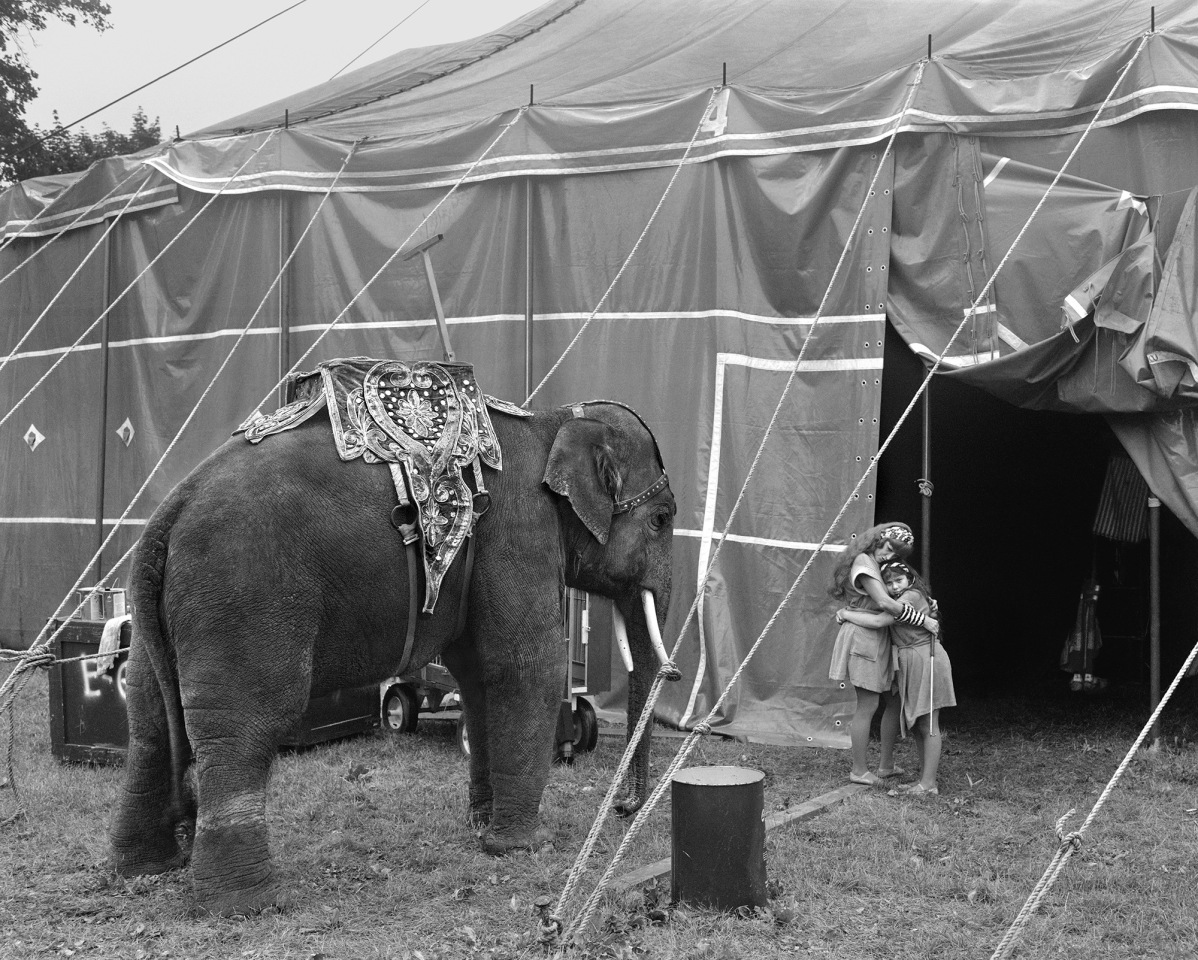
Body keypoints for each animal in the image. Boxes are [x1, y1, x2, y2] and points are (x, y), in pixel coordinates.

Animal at [107, 391, 676, 917]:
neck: (554, 421)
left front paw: (481, 827)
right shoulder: (520, 530)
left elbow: (477, 674)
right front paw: (520, 847)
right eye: (662, 519)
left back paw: (144, 868)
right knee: (244, 724)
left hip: (166, 614)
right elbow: (526, 666)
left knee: (149, 719)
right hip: (241, 596)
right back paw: (249, 902)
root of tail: (168, 512)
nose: (623, 807)